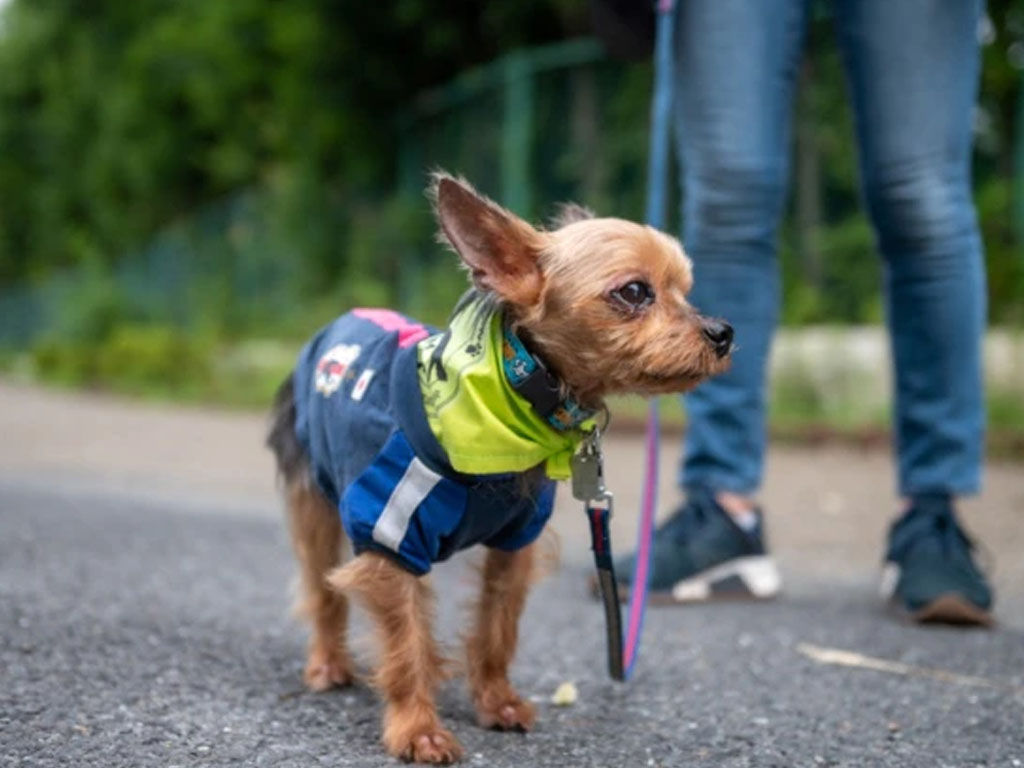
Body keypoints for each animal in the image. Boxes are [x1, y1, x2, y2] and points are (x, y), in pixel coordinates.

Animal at [264, 174, 729, 765]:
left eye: (685, 290)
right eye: (633, 292)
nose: (722, 331)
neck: (511, 392)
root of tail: (340, 320)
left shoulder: (515, 544)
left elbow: (496, 626)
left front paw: (496, 702)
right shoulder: (391, 534)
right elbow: (406, 643)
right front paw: (418, 730)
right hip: (315, 497)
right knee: (320, 584)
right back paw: (327, 664)